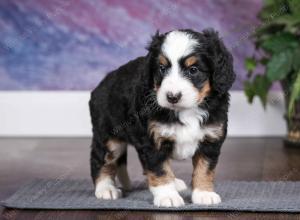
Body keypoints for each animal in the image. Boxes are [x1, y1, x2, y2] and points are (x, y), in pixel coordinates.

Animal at [88, 28, 234, 207]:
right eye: (162, 68)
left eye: (193, 70)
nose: (172, 97)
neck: (184, 111)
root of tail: (102, 83)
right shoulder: (153, 140)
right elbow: (160, 169)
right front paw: (167, 196)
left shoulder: (210, 138)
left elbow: (205, 168)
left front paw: (204, 193)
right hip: (109, 137)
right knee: (100, 160)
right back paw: (105, 189)